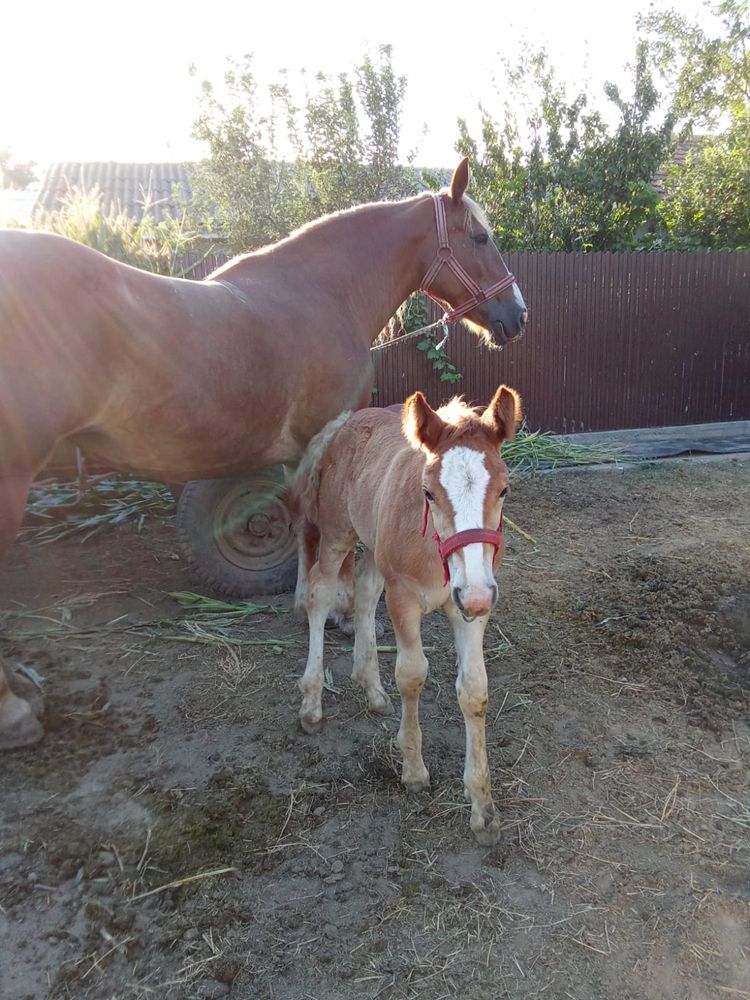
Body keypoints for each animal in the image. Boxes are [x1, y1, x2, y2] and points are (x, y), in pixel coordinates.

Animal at [0, 158, 528, 752]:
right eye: (480, 237)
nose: (517, 315)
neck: (323, 295)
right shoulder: (323, 443)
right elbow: (326, 542)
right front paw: (338, 613)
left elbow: (303, 528)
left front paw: (314, 605)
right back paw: (14, 710)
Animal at [294, 382, 524, 844]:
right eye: (428, 492)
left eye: (504, 489)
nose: (475, 594)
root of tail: (345, 422)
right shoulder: (402, 596)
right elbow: (413, 675)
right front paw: (414, 771)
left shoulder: (472, 603)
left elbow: (474, 690)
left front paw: (483, 808)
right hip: (337, 532)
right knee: (320, 591)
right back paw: (312, 703)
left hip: (373, 543)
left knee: (365, 590)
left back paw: (371, 689)